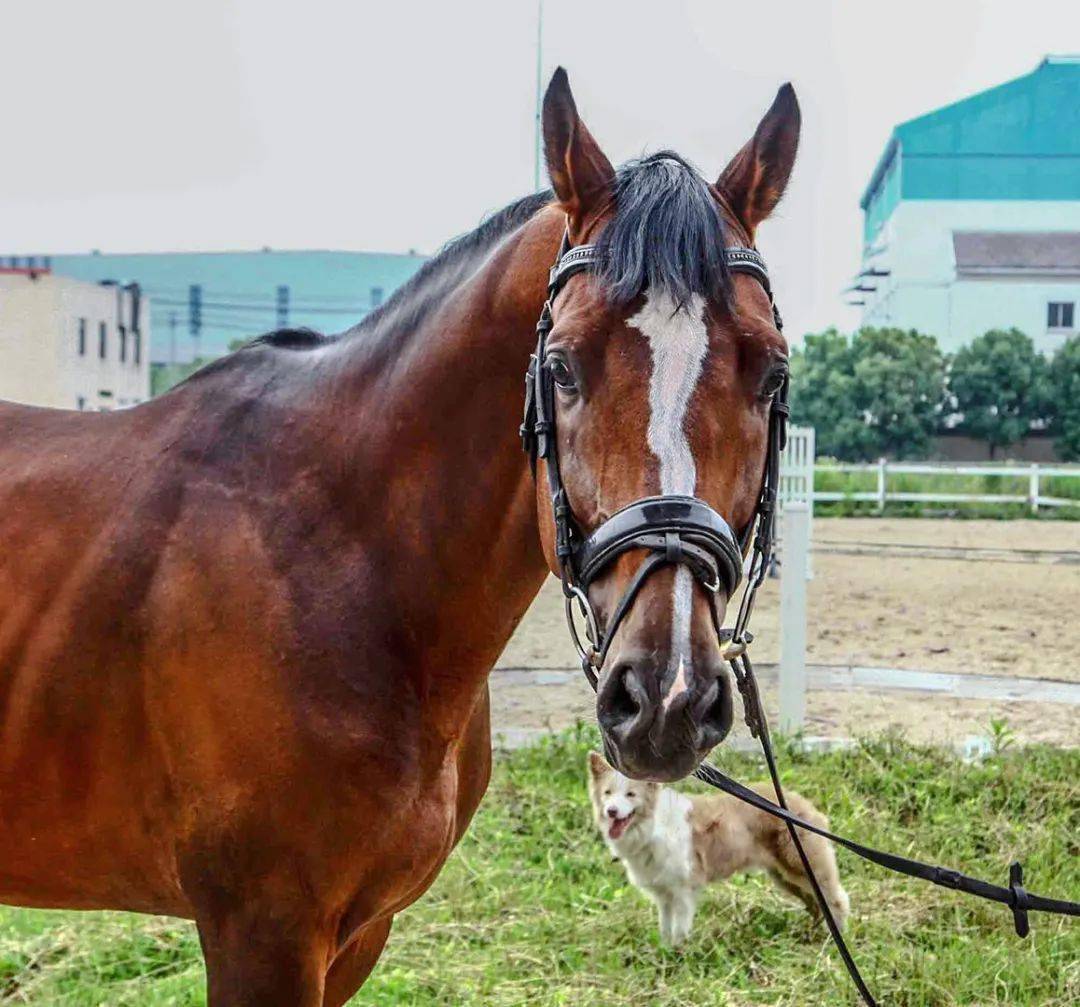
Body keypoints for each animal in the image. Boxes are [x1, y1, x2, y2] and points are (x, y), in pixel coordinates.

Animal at [0, 66, 794, 1002]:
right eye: (561, 366)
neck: (341, 556)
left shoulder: (356, 934)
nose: (667, 697)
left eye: (771, 371)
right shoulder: (261, 932)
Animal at [587, 752, 846, 946]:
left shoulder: (683, 890)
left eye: (631, 794)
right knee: (816, 904)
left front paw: (679, 957)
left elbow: (679, 931)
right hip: (784, 876)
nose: (611, 811)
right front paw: (664, 953)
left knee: (837, 899)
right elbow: (666, 929)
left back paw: (832, 940)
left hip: (803, 867)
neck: (652, 825)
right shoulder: (664, 894)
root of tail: (802, 805)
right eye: (607, 793)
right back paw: (812, 934)